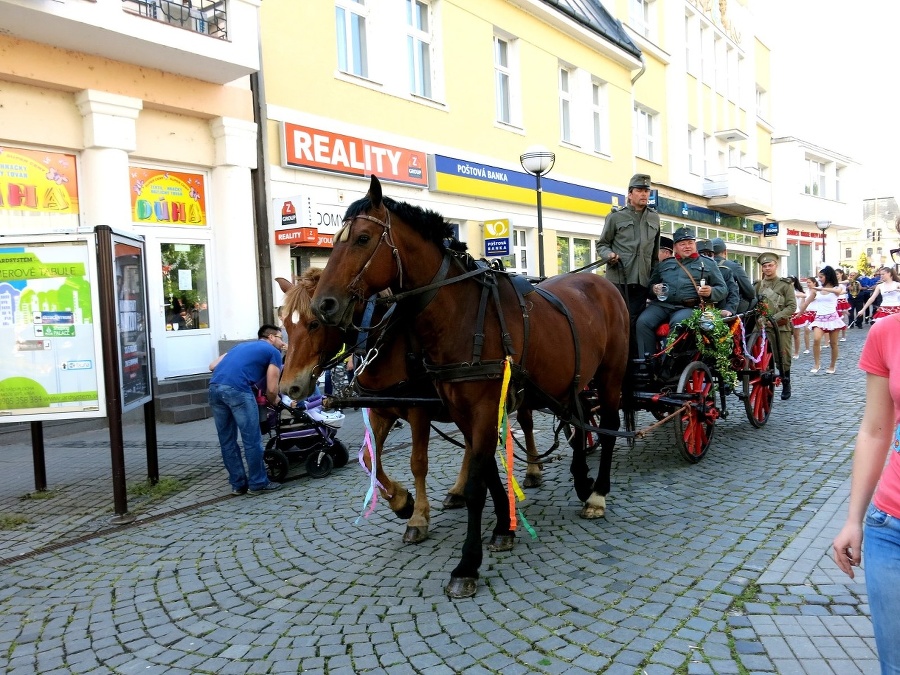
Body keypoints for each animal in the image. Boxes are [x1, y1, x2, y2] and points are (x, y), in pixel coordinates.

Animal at [276, 270, 540, 544]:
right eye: (286, 326)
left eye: (314, 324)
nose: (289, 388)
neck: (388, 344)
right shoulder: (381, 410)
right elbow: (370, 458)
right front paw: (401, 502)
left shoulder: (418, 412)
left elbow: (418, 463)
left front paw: (418, 517)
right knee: (471, 444)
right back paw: (458, 491)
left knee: (526, 424)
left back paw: (533, 471)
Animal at [312, 177, 628, 600]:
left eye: (362, 239)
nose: (324, 304)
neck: (460, 314)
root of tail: (601, 282)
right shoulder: (464, 412)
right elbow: (488, 470)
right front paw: (503, 528)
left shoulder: (483, 407)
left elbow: (478, 483)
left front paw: (467, 564)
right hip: (570, 381)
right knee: (578, 427)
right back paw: (581, 481)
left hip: (611, 375)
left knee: (606, 429)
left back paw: (597, 494)